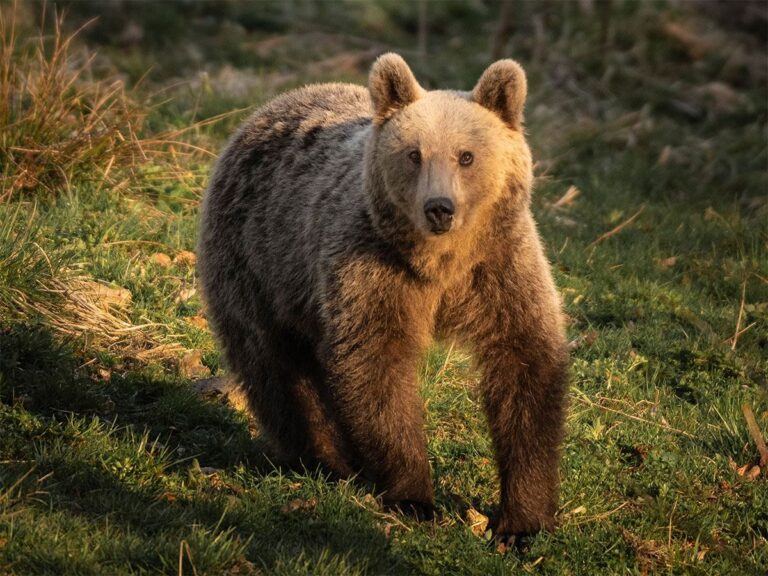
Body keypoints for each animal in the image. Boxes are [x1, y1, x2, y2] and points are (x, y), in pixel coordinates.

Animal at [197, 53, 569, 543]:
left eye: (466, 155)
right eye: (414, 154)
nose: (439, 208)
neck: (438, 263)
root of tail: (269, 107)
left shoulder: (497, 269)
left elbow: (524, 367)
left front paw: (520, 522)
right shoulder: (373, 267)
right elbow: (377, 367)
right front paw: (414, 498)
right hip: (258, 264)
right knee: (275, 367)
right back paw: (328, 460)